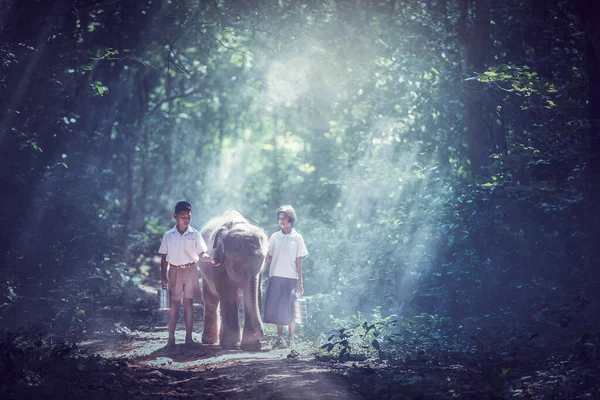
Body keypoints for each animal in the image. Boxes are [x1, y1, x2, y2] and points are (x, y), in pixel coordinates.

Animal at [198, 209, 266, 350]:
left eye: (262, 258)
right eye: (235, 258)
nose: (260, 335)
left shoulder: (260, 271)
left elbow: (257, 293)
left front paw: (250, 347)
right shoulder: (218, 263)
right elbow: (227, 292)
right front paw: (231, 346)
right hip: (205, 273)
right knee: (211, 298)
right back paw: (209, 341)